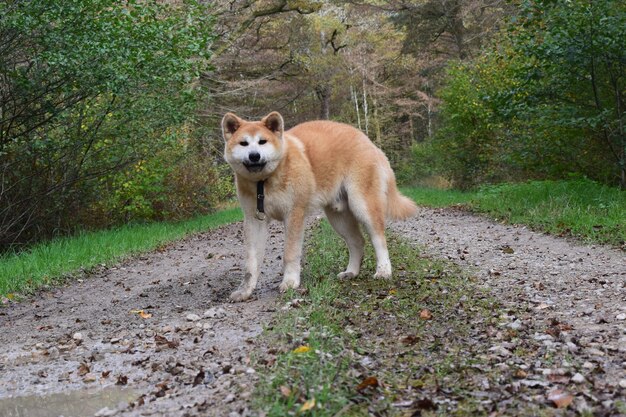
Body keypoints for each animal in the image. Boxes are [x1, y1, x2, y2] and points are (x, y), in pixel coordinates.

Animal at [222, 110, 416, 300]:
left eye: (262, 141)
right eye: (243, 143)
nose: (254, 156)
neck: (263, 182)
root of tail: (367, 141)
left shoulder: (294, 215)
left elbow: (290, 254)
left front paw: (290, 281)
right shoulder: (254, 221)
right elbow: (251, 263)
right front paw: (245, 291)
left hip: (363, 206)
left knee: (378, 239)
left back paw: (383, 271)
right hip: (339, 218)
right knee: (357, 242)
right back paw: (351, 272)